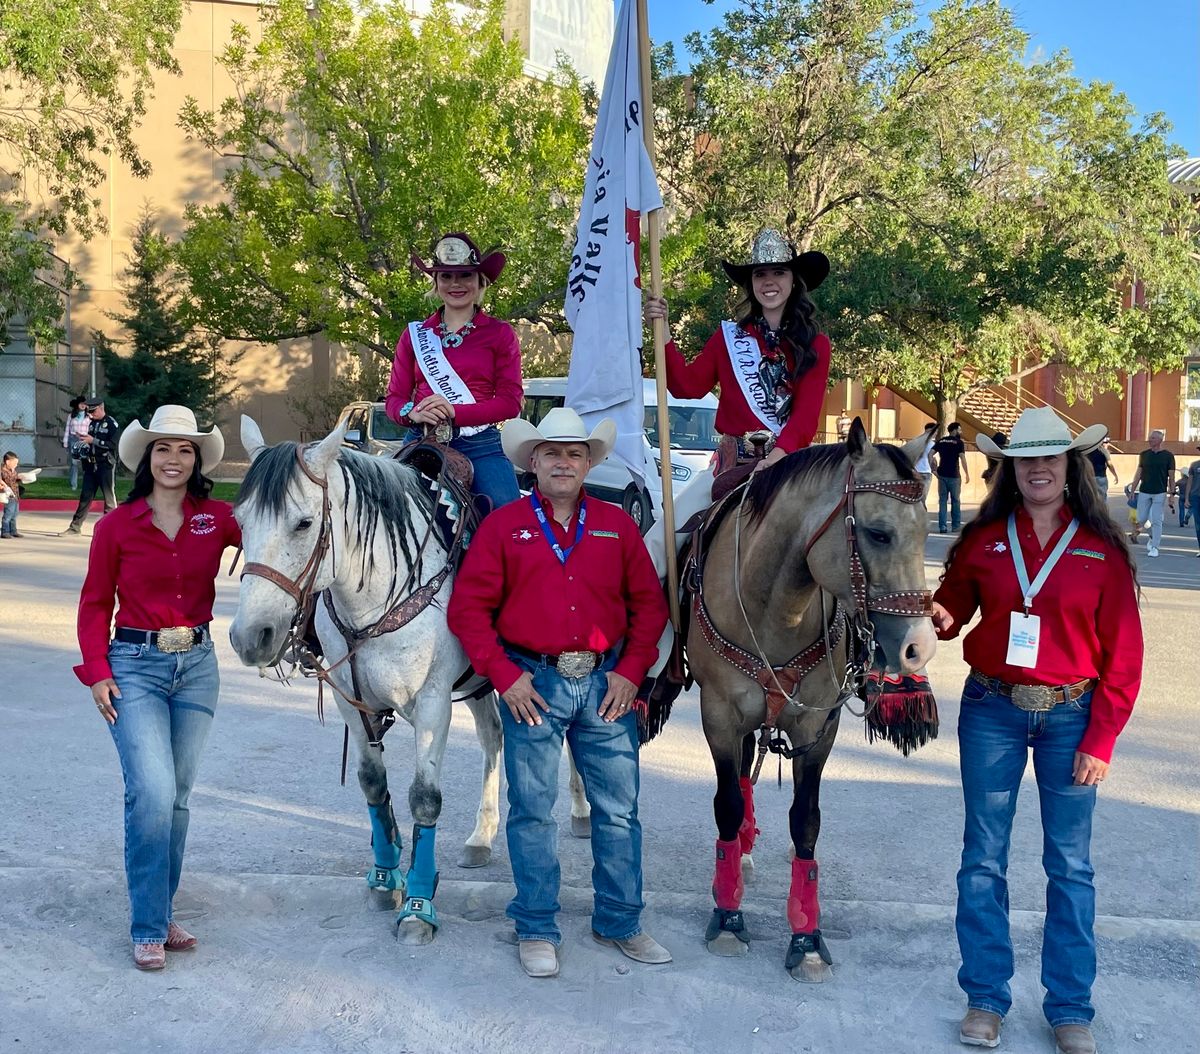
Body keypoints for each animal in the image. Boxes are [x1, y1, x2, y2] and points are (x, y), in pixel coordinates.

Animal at [686, 420, 936, 984]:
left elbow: (806, 820)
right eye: (878, 533)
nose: (919, 647)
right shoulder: (719, 716)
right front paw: (728, 915)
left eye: (925, 530)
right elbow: (726, 803)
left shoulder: (817, 727)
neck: (778, 606)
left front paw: (806, 936)